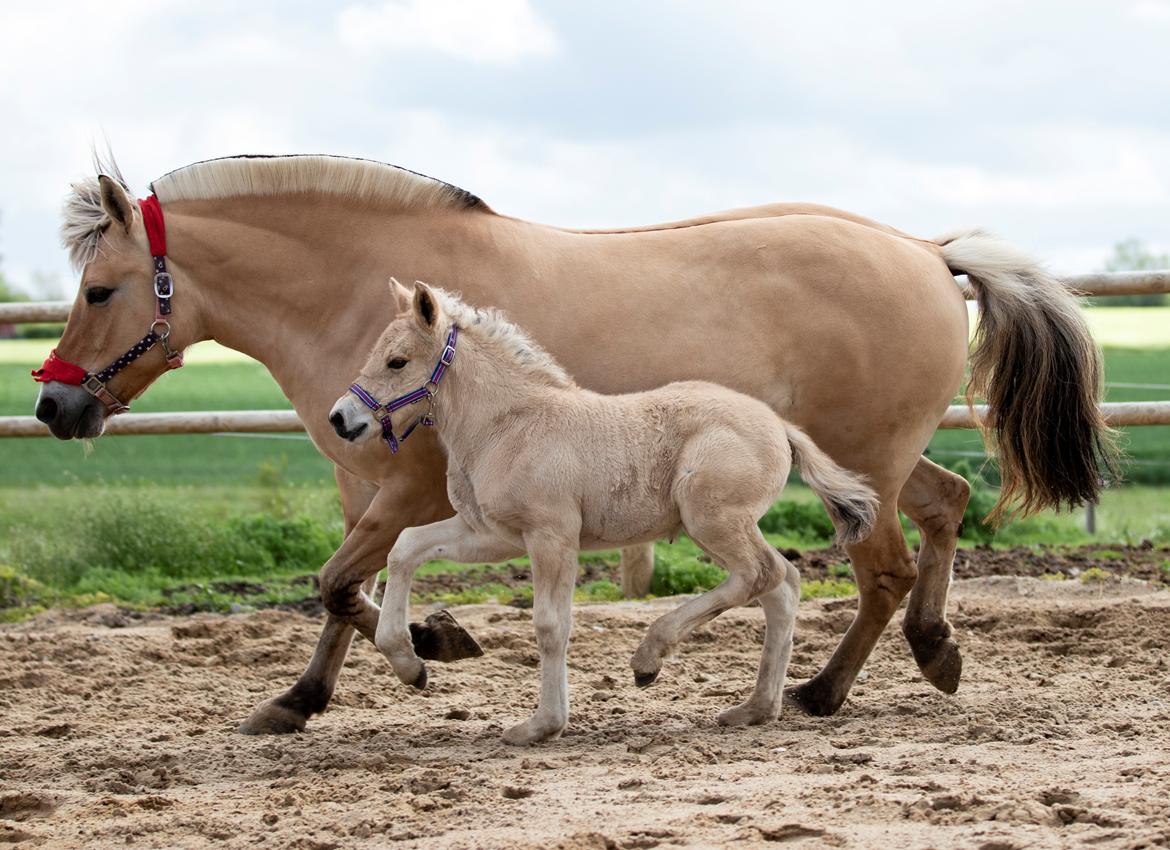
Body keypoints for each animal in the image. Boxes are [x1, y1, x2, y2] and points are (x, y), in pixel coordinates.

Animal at [329, 280, 879, 744]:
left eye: (397, 361)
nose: (340, 418)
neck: (507, 427)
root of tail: (779, 425)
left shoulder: (551, 536)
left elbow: (551, 625)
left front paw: (541, 726)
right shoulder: (491, 533)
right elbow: (405, 548)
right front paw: (410, 665)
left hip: (710, 519)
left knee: (760, 575)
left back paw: (649, 658)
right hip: (723, 526)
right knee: (782, 583)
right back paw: (755, 708)